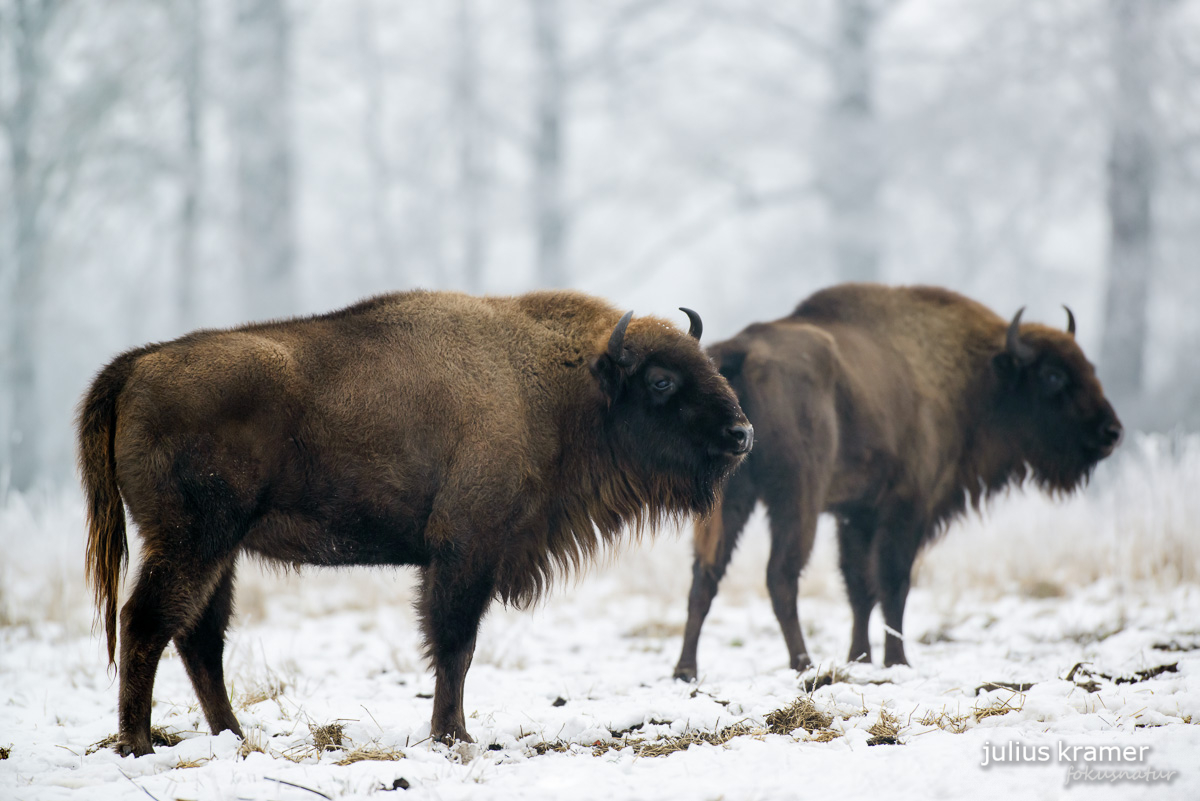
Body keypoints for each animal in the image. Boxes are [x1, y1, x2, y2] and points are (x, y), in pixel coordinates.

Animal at [79, 291, 748, 753]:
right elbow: (455, 645)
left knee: (199, 638)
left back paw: (234, 737)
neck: (555, 384)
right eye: (661, 381)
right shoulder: (465, 549)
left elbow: (454, 648)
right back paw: (139, 744)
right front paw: (454, 736)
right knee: (147, 623)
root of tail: (137, 366)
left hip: (220, 550)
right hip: (193, 542)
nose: (741, 434)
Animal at [676, 284, 1123, 681]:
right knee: (780, 575)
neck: (973, 375)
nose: (1111, 431)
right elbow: (893, 582)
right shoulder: (906, 507)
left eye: (1090, 368)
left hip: (733, 498)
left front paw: (860, 658)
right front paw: (898, 661)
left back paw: (686, 670)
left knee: (705, 576)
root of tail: (740, 354)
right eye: (1052, 376)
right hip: (796, 498)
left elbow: (859, 586)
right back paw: (803, 664)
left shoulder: (856, 513)